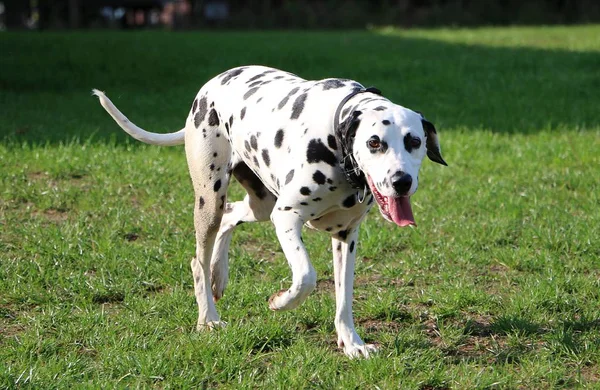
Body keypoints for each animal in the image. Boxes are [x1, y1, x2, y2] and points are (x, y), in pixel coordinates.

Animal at [91, 64, 442, 360]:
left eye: (414, 141)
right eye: (374, 142)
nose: (401, 181)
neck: (335, 140)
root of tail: (210, 85)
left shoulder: (346, 237)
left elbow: (344, 297)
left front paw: (352, 343)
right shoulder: (286, 216)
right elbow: (306, 276)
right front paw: (281, 301)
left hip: (260, 204)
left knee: (230, 216)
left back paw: (219, 275)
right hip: (211, 199)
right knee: (198, 259)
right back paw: (208, 318)